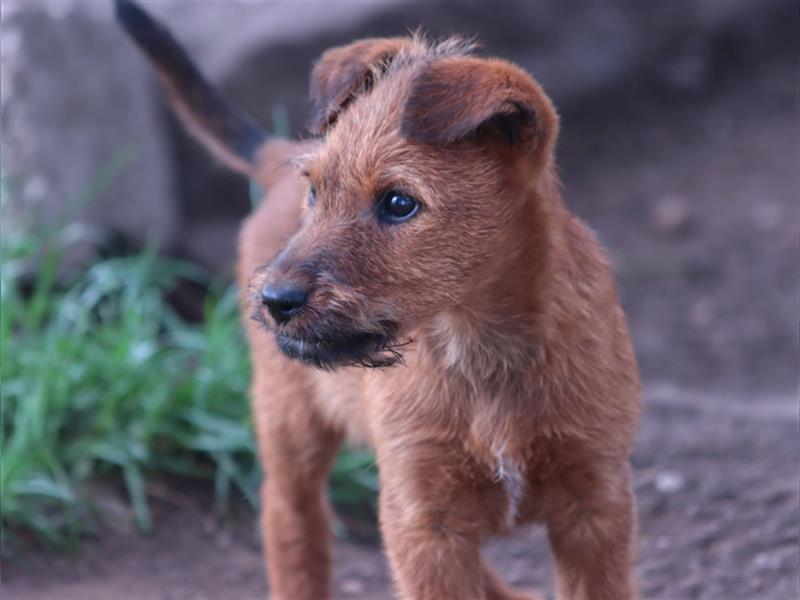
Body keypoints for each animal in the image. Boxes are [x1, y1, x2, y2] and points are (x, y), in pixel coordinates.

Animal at [117, 2, 644, 596]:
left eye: (399, 203)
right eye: (316, 192)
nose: (275, 300)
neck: (480, 352)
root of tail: (281, 156)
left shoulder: (594, 503)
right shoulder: (424, 515)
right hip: (289, 420)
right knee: (291, 520)